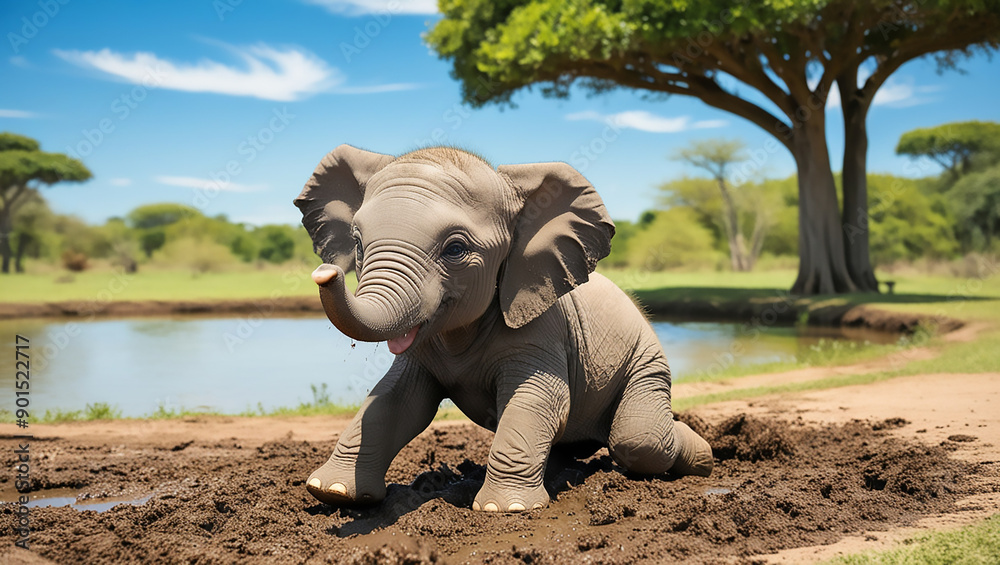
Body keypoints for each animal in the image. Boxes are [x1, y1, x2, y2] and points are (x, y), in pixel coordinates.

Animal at [294, 144, 714, 513]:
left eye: (455, 249)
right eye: (358, 243)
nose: (324, 273)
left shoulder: (542, 329)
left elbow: (537, 398)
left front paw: (504, 509)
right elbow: (394, 399)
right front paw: (333, 493)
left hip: (647, 364)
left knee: (639, 440)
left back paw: (705, 458)